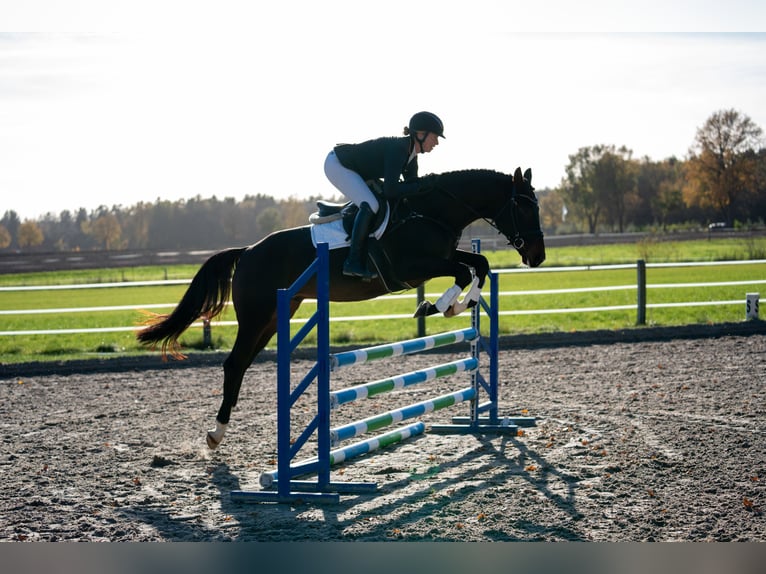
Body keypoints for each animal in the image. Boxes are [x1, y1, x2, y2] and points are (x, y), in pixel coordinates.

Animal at [138, 166, 544, 450]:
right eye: (524, 208)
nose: (537, 257)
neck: (431, 211)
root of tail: (248, 250)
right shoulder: (415, 267)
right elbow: (463, 270)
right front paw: (435, 307)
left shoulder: (440, 258)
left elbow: (480, 264)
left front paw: (462, 304)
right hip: (256, 316)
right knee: (234, 364)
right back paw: (215, 435)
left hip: (275, 317)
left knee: (241, 363)